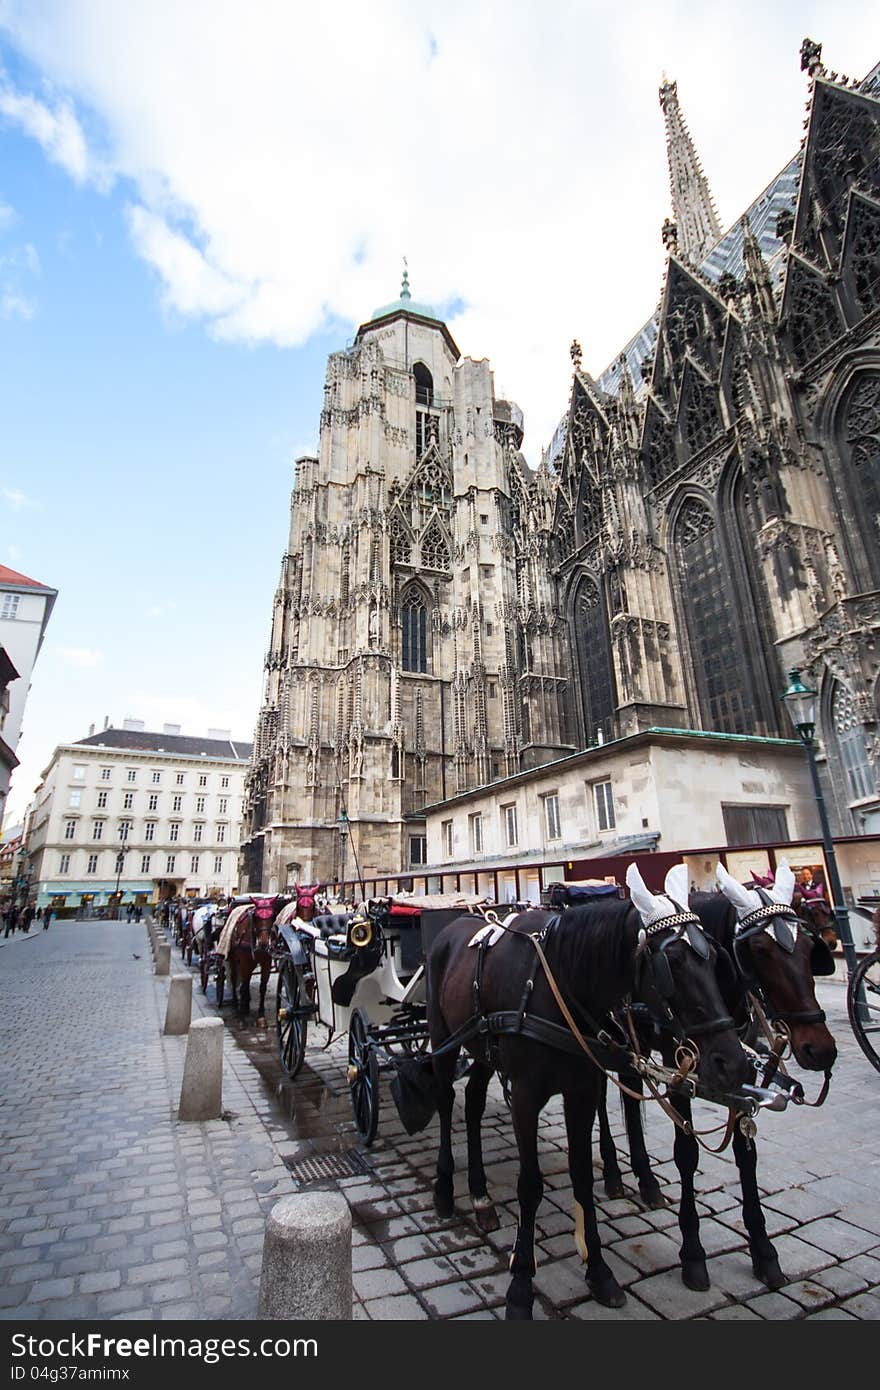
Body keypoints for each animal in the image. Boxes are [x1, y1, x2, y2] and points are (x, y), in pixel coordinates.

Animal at [425, 861, 750, 1317]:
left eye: (717, 959)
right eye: (670, 963)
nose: (735, 1063)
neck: (557, 985)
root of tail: (453, 925)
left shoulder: (579, 1090)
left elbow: (581, 1176)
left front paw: (599, 1271)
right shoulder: (525, 1095)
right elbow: (530, 1185)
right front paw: (521, 1288)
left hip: (483, 1047)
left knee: (471, 1101)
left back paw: (480, 1196)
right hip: (443, 1037)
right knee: (444, 1098)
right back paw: (444, 1189)